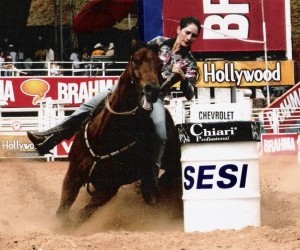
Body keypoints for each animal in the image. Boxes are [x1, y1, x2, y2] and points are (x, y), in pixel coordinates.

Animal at [56, 45, 182, 223]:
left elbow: (82, 216)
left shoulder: (109, 188)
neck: (105, 137)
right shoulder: (73, 173)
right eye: (136, 60)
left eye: (159, 65)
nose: (152, 90)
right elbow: (62, 210)